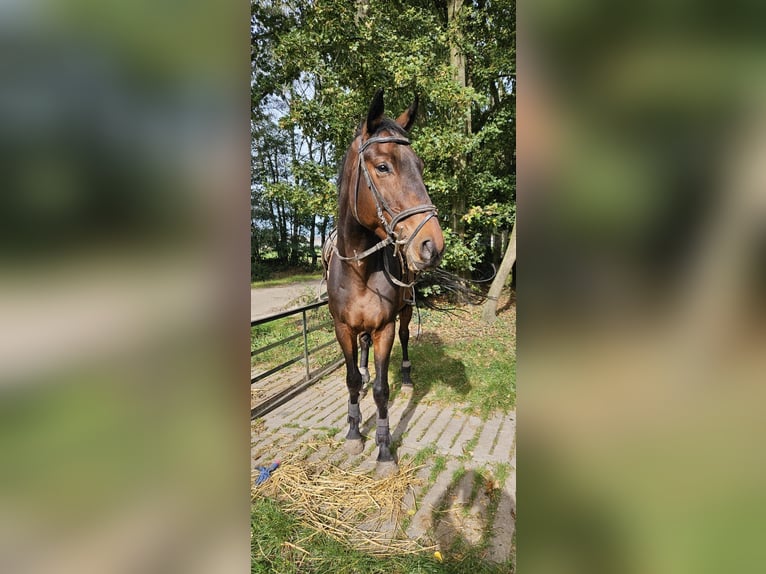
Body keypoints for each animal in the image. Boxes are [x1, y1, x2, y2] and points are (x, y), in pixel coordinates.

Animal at [322, 90, 444, 476]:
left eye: (420, 166)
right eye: (383, 167)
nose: (432, 245)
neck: (360, 270)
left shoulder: (384, 329)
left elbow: (381, 389)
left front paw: (385, 448)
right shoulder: (342, 327)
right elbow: (351, 379)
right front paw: (353, 433)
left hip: (404, 312)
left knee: (405, 338)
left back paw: (405, 377)